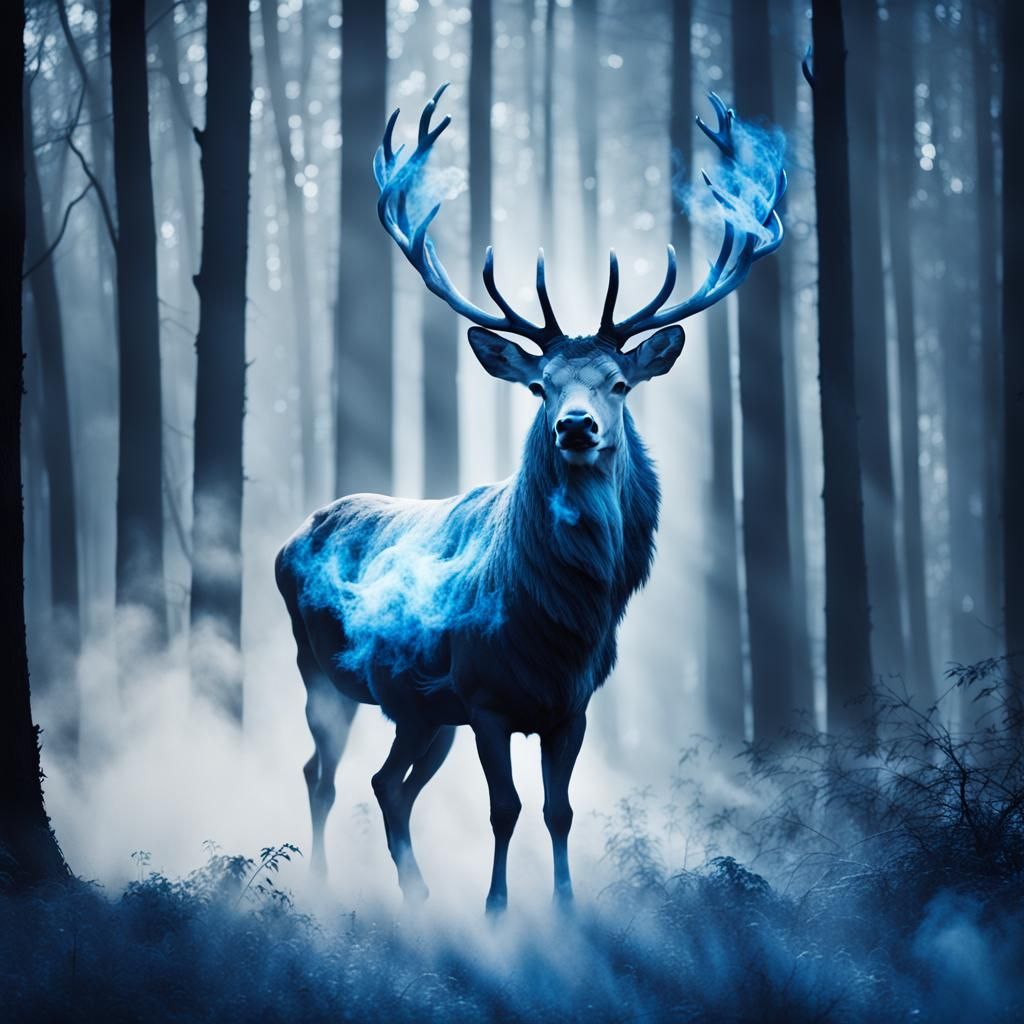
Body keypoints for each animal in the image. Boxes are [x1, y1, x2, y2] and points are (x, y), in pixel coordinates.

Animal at [275, 84, 784, 913]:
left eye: (620, 383)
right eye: (542, 386)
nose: (576, 426)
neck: (558, 626)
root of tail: (296, 535)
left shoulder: (569, 708)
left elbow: (559, 809)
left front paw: (567, 909)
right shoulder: (485, 699)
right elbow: (505, 809)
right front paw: (497, 912)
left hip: (421, 710)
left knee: (387, 786)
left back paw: (417, 896)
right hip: (320, 670)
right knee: (322, 773)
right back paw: (323, 885)